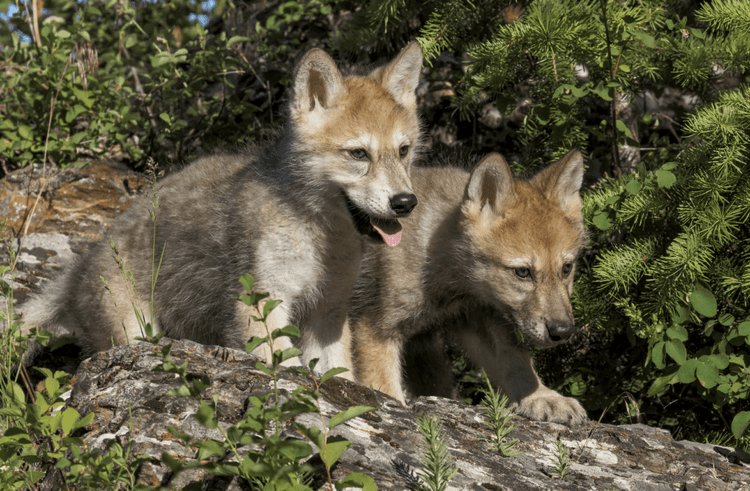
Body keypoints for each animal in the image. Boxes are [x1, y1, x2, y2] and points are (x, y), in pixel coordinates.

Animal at [20, 43, 424, 378]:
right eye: (358, 154)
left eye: (403, 150)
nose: (405, 202)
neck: (315, 231)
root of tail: (79, 269)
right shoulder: (259, 307)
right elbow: (287, 367)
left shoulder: (326, 314)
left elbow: (339, 376)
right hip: (133, 335)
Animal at [351, 150, 588, 424]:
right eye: (522, 272)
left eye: (567, 268)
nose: (563, 331)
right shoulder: (375, 330)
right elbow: (386, 388)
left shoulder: (477, 317)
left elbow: (517, 363)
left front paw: (544, 397)